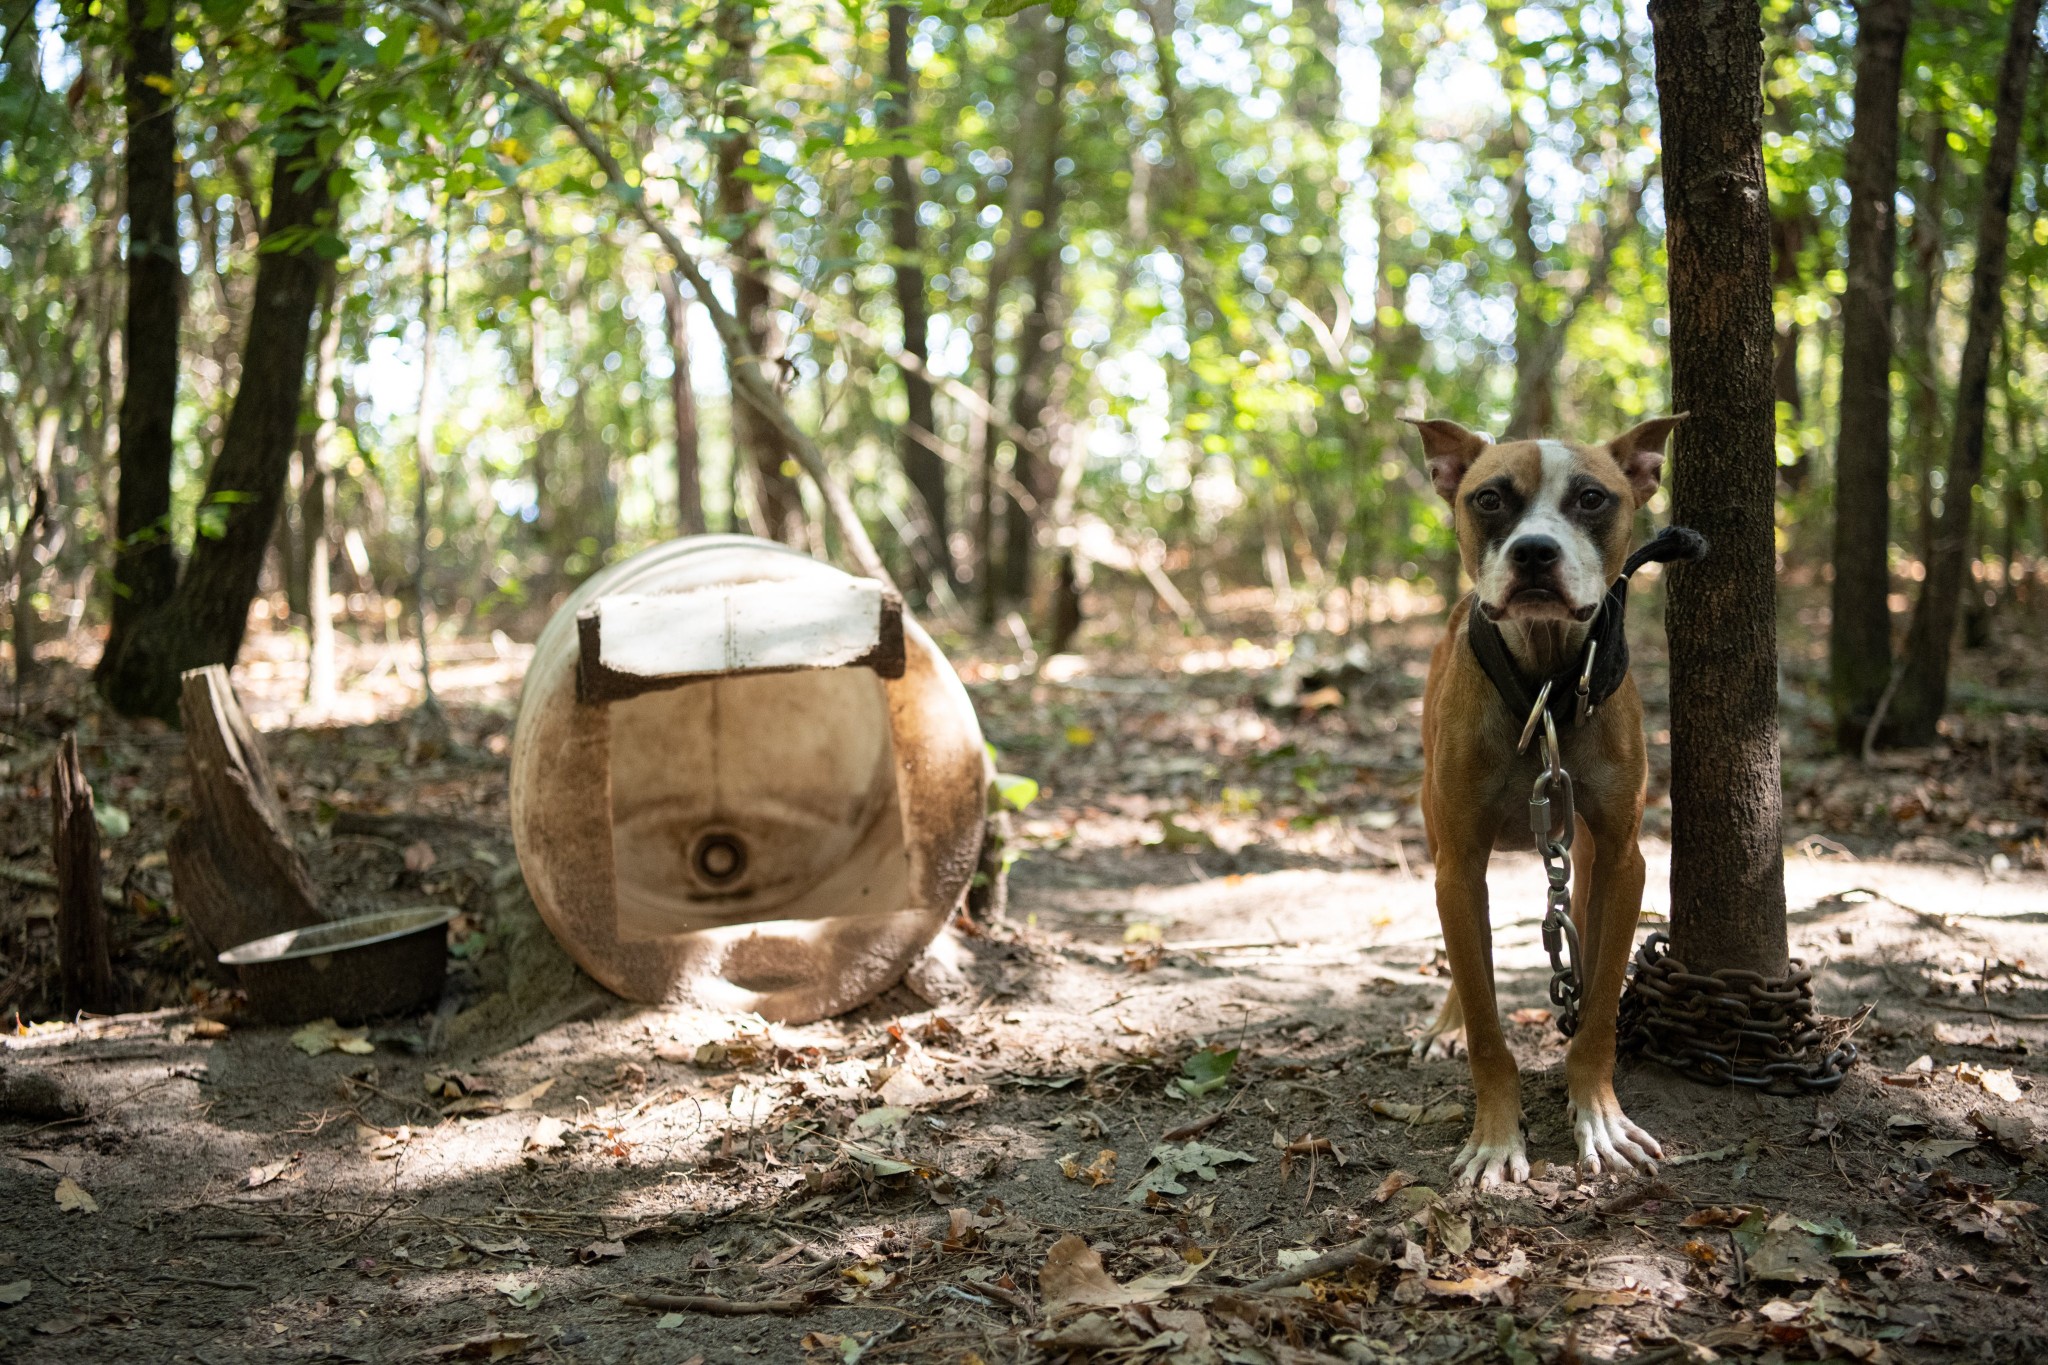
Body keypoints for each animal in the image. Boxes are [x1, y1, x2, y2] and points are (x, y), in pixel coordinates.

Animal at [1409, 413, 1679, 1186]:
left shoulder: (1622, 859)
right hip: (1440, 840)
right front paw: (1497, 1136)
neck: (1544, 685)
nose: (1534, 551)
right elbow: (1485, 1017)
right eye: (1489, 498)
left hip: (1583, 852)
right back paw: (1445, 1025)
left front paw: (1599, 1116)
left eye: (1592, 498)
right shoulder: (1459, 866)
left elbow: (1601, 1009)